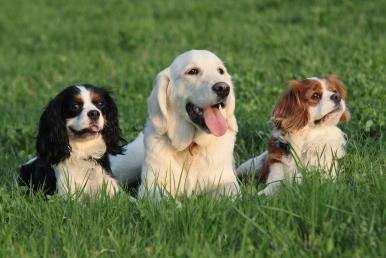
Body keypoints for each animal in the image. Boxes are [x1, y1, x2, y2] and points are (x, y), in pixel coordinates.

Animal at [137, 50, 240, 200]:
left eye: (220, 71)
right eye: (193, 71)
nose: (223, 88)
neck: (190, 146)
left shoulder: (227, 181)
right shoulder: (150, 186)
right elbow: (163, 199)